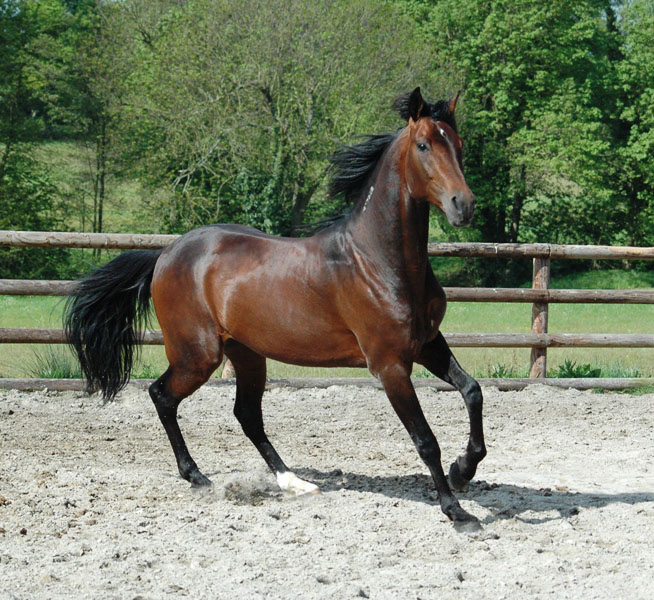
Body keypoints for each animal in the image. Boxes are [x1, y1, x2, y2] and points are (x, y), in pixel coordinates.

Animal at [65, 88, 486, 528]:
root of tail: (165, 254)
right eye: (423, 145)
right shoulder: (389, 364)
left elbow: (472, 390)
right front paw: (457, 512)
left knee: (247, 414)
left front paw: (463, 470)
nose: (463, 205)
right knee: (162, 395)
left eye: (458, 145)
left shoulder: (427, 343)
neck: (378, 261)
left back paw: (294, 483)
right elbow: (425, 439)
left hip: (247, 353)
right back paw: (198, 477)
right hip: (197, 355)